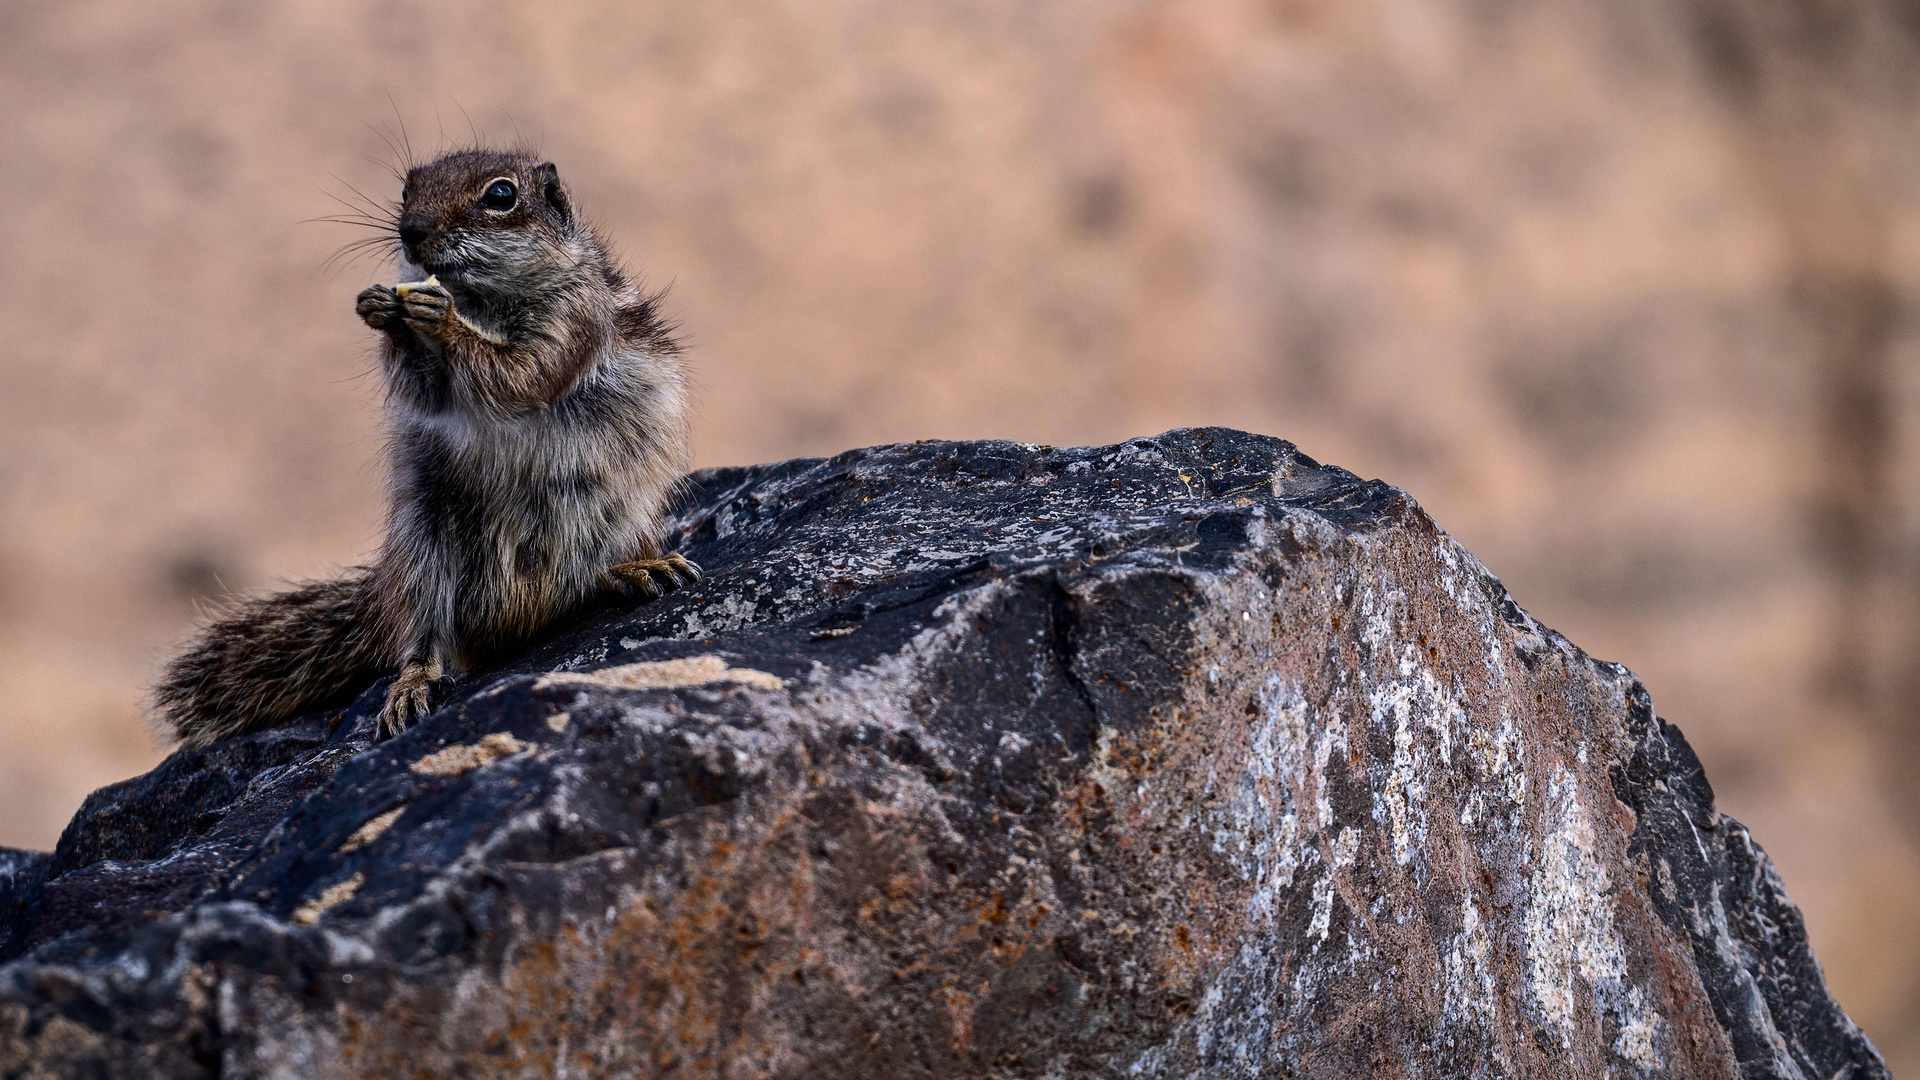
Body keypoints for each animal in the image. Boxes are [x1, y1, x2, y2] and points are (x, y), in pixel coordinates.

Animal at [157, 147, 698, 745]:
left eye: (502, 195)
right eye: (405, 190)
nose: (410, 230)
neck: (480, 300)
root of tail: (520, 612)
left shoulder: (573, 317)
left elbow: (523, 373)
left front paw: (439, 319)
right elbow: (427, 390)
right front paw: (385, 314)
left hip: (625, 512)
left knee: (588, 576)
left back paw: (636, 568)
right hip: (423, 547)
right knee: (425, 635)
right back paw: (410, 686)